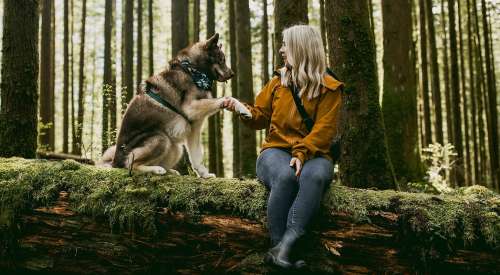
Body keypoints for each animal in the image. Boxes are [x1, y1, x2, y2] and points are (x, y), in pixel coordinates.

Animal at [98, 33, 252, 178]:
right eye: (222, 59)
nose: (232, 74)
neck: (192, 71)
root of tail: (114, 162)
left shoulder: (194, 127)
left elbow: (197, 157)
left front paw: (204, 174)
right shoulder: (190, 108)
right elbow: (227, 97)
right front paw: (242, 108)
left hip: (176, 148)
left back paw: (169, 171)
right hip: (161, 139)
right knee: (130, 164)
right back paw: (156, 169)